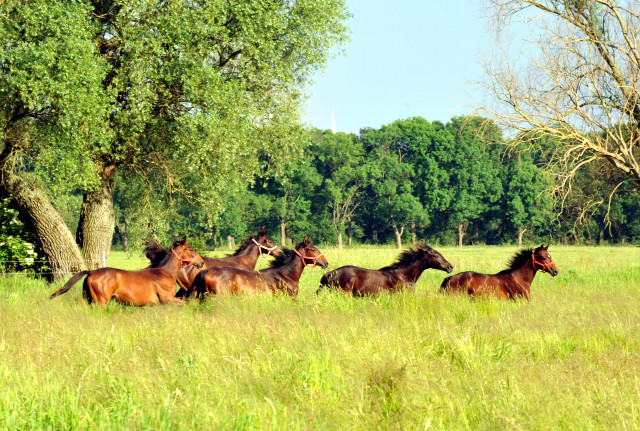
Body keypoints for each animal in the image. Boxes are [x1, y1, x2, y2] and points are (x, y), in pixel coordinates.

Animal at [50, 236, 205, 308]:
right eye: (191, 249)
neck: (165, 272)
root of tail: (91, 272)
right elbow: (185, 303)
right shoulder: (167, 299)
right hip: (101, 301)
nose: (201, 262)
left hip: (87, 298)